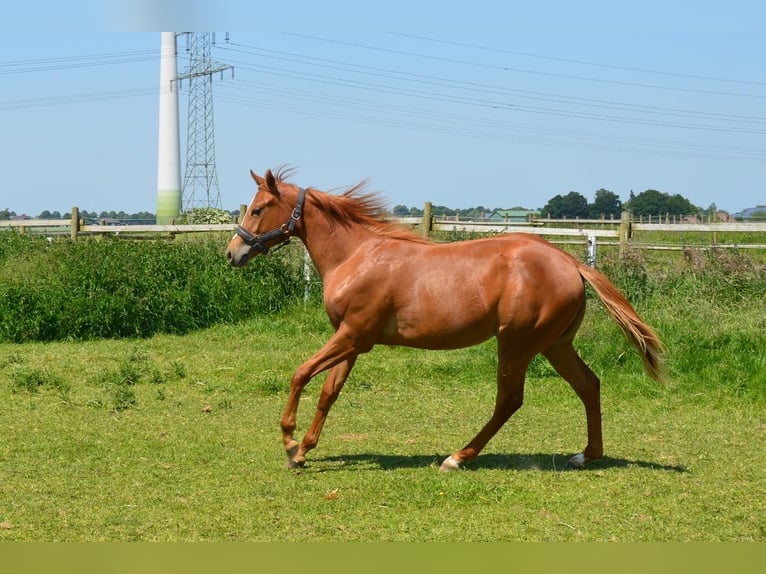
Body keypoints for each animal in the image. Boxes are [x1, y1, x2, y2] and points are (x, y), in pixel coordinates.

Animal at [225, 169, 664, 474]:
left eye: (259, 208)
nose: (232, 253)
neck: (356, 256)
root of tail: (570, 263)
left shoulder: (352, 336)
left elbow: (300, 374)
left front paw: (288, 442)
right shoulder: (351, 340)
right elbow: (329, 393)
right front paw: (303, 450)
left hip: (517, 344)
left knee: (510, 399)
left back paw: (457, 457)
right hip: (555, 345)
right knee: (588, 385)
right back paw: (586, 455)